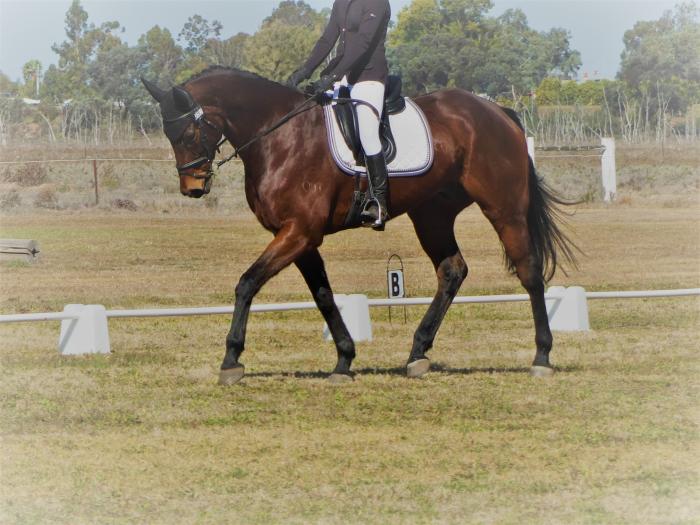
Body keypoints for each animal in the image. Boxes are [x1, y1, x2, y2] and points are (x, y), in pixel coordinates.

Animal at [142, 66, 577, 385]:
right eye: (167, 132)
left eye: (188, 131)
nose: (192, 188)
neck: (279, 135)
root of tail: (497, 112)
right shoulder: (301, 237)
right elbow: (323, 295)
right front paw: (344, 359)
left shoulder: (299, 232)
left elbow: (247, 282)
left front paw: (231, 359)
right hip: (432, 215)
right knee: (452, 270)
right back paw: (417, 353)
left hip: (504, 209)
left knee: (529, 271)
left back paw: (541, 355)